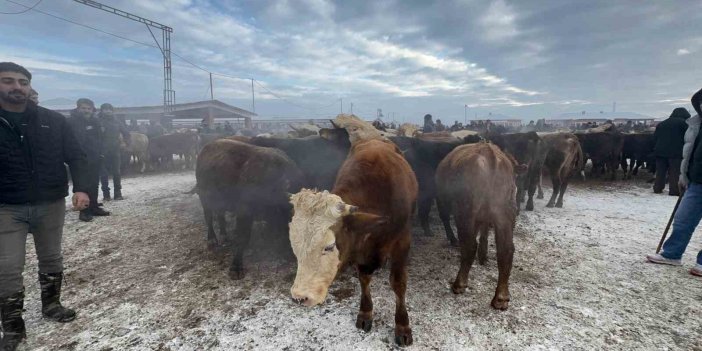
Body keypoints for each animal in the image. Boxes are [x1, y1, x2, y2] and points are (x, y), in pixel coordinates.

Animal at [195, 140, 302, 280]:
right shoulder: (244, 211)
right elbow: (242, 237)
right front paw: (236, 267)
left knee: (220, 216)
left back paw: (224, 236)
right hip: (205, 198)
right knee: (209, 217)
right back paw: (212, 240)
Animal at [288, 139, 420, 348]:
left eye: (329, 246)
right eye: (295, 246)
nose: (300, 297)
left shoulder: (402, 241)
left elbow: (398, 283)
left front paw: (402, 326)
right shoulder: (360, 248)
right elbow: (364, 279)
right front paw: (365, 313)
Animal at [440, 143, 524, 310]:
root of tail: (489, 153)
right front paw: (483, 255)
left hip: (466, 211)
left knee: (470, 245)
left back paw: (459, 284)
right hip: (504, 212)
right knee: (506, 249)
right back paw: (501, 297)